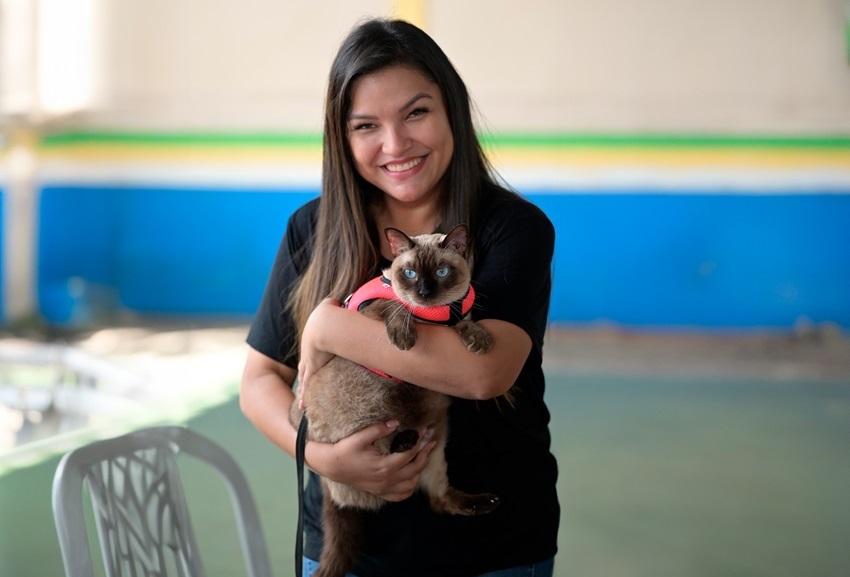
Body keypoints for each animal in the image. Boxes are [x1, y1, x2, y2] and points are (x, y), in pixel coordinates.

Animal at [292, 224, 500, 576]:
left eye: (442, 272)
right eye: (411, 273)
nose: (425, 293)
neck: (431, 315)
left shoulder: (455, 317)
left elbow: (465, 322)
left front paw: (480, 339)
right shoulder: (375, 311)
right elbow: (397, 310)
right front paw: (405, 336)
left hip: (438, 440)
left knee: (438, 500)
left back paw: (484, 502)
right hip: (358, 411)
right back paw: (403, 441)